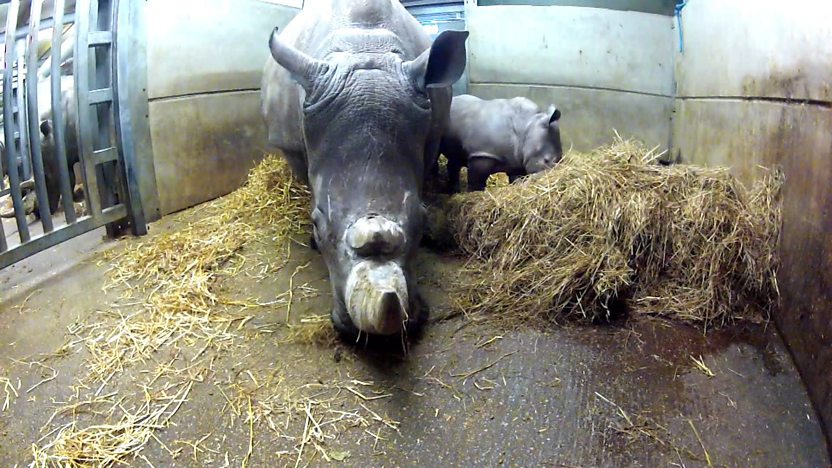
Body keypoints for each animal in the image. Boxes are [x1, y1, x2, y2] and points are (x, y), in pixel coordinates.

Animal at [260, 0, 468, 338]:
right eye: (317, 223)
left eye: (423, 219)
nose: (377, 333)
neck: (363, 45)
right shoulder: (291, 144)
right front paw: (313, 243)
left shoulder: (432, 131)